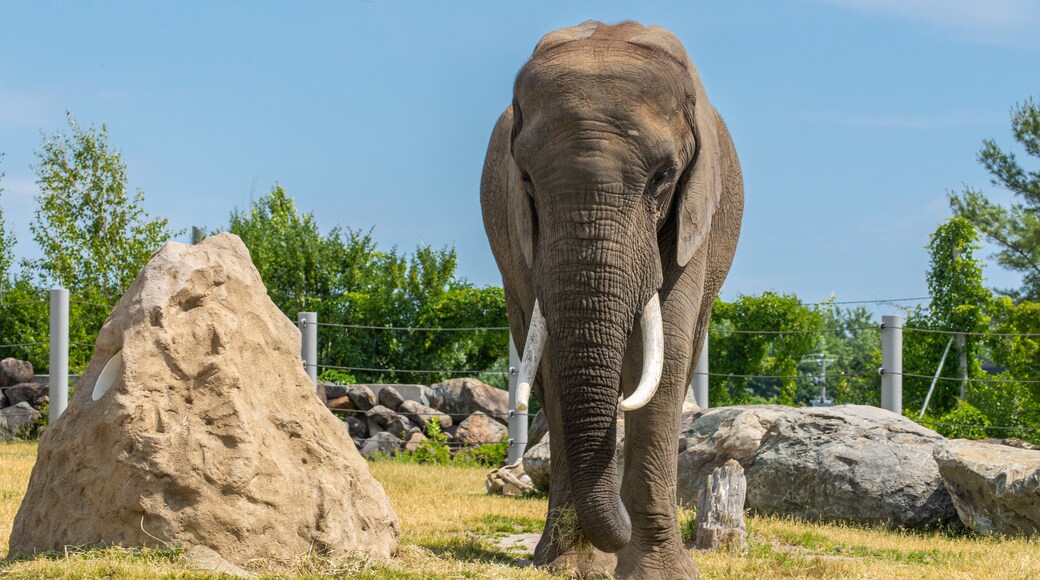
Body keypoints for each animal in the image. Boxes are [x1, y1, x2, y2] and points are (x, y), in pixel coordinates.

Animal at [482, 20, 744, 577]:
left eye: (663, 177)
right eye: (526, 179)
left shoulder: (694, 219)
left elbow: (666, 355)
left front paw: (660, 572)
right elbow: (553, 358)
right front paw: (569, 567)